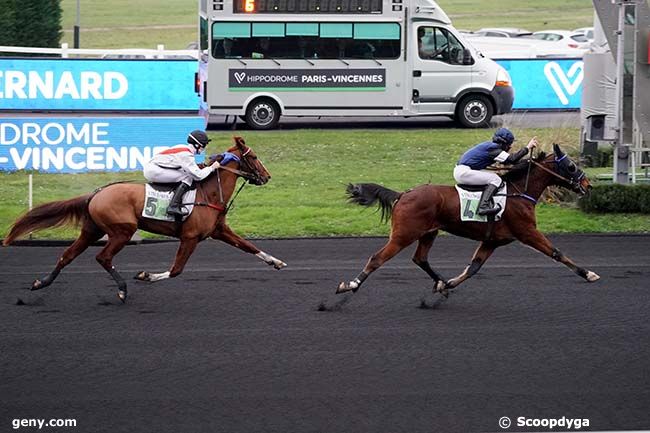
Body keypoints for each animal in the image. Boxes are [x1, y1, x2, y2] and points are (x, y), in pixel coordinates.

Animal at [3, 135, 284, 300]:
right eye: (254, 157)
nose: (267, 176)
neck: (209, 191)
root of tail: (96, 193)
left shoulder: (219, 231)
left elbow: (249, 246)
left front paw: (277, 262)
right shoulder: (190, 237)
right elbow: (176, 270)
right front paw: (145, 276)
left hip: (92, 230)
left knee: (67, 255)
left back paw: (41, 283)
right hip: (121, 231)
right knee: (102, 257)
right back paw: (122, 289)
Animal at [336, 144, 600, 296]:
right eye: (571, 165)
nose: (588, 185)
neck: (518, 192)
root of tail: (403, 194)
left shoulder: (492, 240)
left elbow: (474, 267)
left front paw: (450, 283)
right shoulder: (527, 232)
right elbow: (557, 252)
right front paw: (588, 274)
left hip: (428, 232)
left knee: (420, 259)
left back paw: (440, 282)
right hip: (404, 235)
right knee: (377, 258)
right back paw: (350, 285)